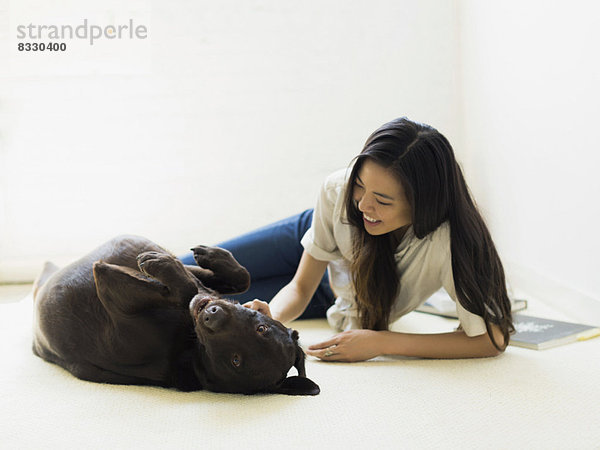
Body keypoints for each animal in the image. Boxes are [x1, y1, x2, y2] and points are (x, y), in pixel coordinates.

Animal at [32, 234, 322, 396]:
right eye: (261, 329)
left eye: (236, 360)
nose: (212, 315)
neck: (190, 343)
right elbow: (243, 277)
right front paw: (212, 255)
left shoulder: (108, 283)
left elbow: (187, 286)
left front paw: (160, 263)